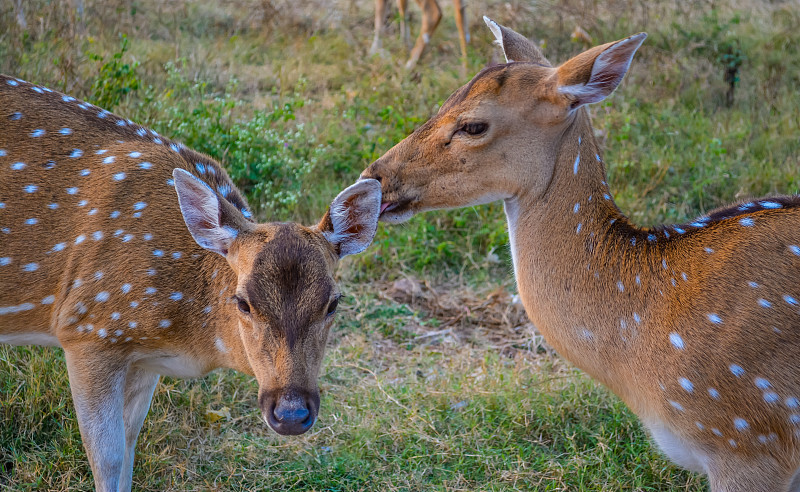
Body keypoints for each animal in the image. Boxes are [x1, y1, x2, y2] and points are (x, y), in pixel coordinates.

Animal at [0, 73, 382, 492]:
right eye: (243, 301)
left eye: (333, 303)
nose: (292, 414)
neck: (181, 337)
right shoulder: (85, 327)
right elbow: (108, 458)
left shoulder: (139, 355)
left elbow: (131, 444)